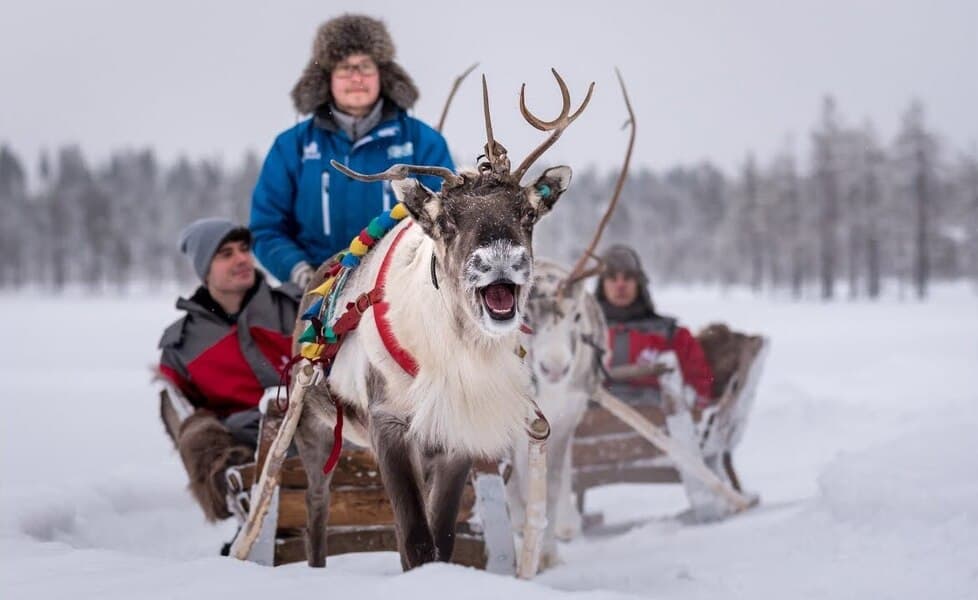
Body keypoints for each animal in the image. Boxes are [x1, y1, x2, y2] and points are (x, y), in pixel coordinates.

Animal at [284, 70, 594, 571]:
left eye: (527, 214)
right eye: (448, 220)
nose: (502, 261)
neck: (459, 352)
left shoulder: (457, 435)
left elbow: (440, 537)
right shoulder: (388, 423)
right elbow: (414, 539)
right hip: (312, 425)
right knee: (316, 505)